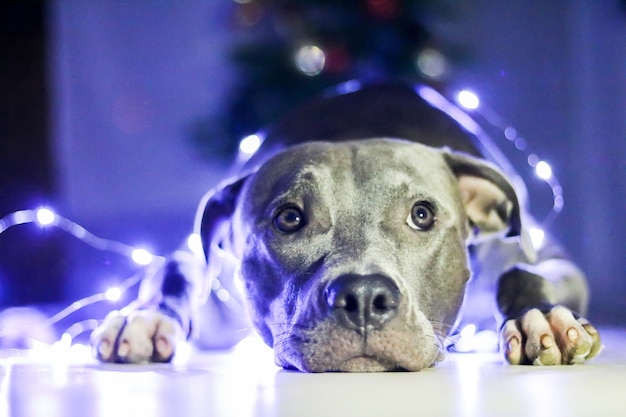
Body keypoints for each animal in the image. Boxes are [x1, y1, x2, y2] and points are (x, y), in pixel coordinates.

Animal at [89, 81, 600, 370]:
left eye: (422, 214)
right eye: (288, 218)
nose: (363, 299)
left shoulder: (544, 256)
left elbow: (521, 272)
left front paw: (543, 319)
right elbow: (174, 270)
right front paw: (144, 318)